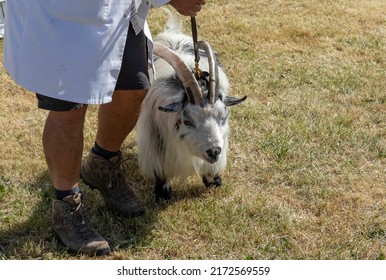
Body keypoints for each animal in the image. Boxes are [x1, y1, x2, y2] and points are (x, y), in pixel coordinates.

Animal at [136, 13, 246, 200]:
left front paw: (213, 180)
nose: (214, 151)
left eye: (223, 118)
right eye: (188, 122)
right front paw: (162, 192)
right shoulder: (155, 143)